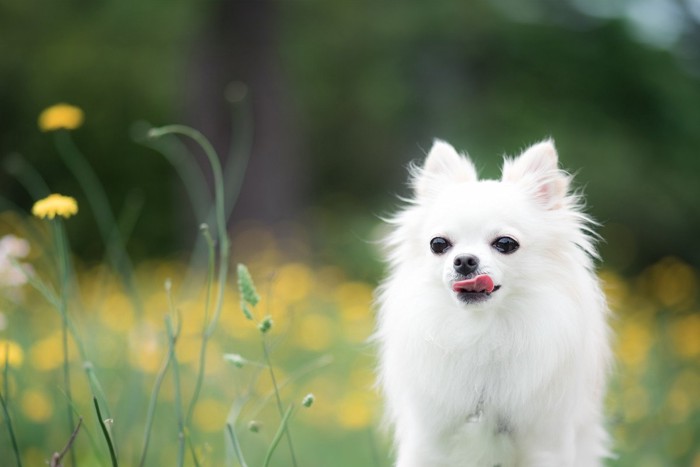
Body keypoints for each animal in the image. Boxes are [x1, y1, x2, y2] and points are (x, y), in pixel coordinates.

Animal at [374, 141, 608, 467]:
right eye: (438, 244)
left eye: (505, 244)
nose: (464, 260)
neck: (482, 330)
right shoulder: (428, 442)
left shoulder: (545, 443)